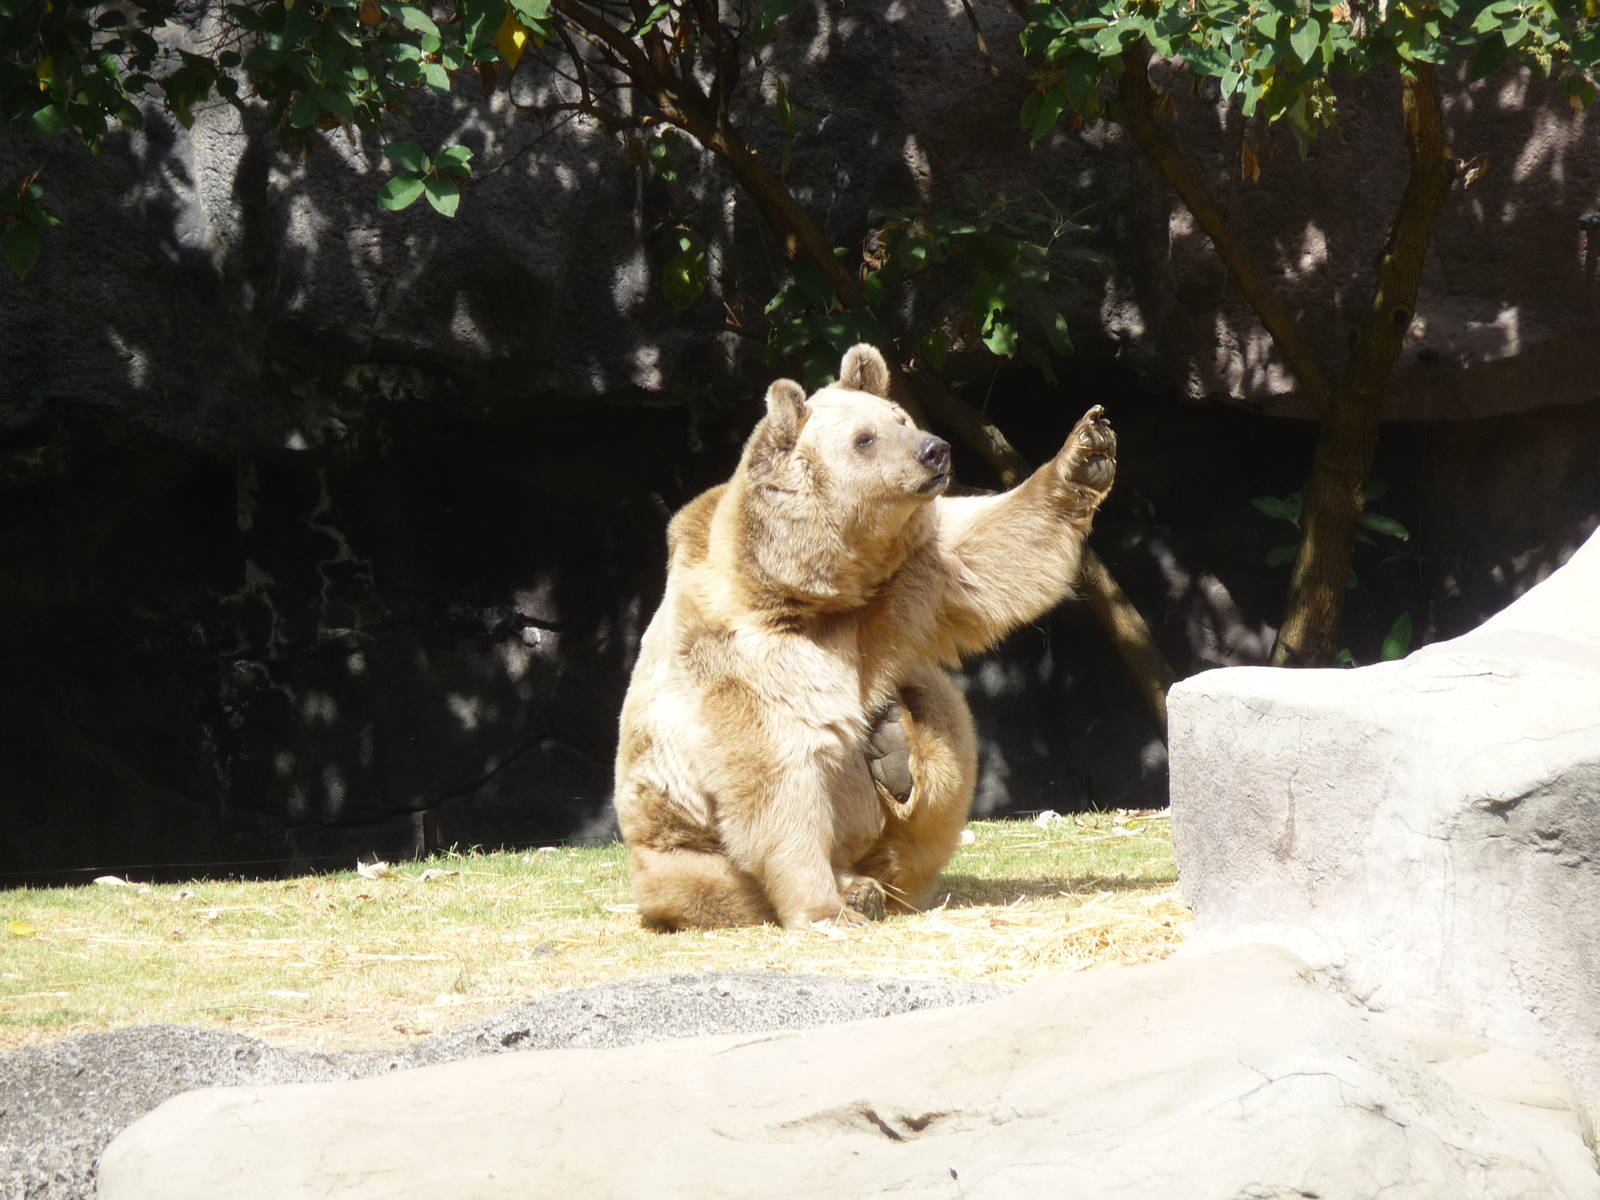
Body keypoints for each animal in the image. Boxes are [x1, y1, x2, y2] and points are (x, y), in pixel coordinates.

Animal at [612, 344, 1115, 930]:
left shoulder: (903, 584)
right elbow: (775, 775)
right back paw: (852, 889)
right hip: (680, 851)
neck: (811, 587)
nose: (935, 450)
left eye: (901, 419)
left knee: (939, 722)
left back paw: (895, 757)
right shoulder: (741, 653)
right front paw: (823, 908)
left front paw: (1087, 448)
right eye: (864, 438)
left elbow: (989, 551)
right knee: (712, 883)